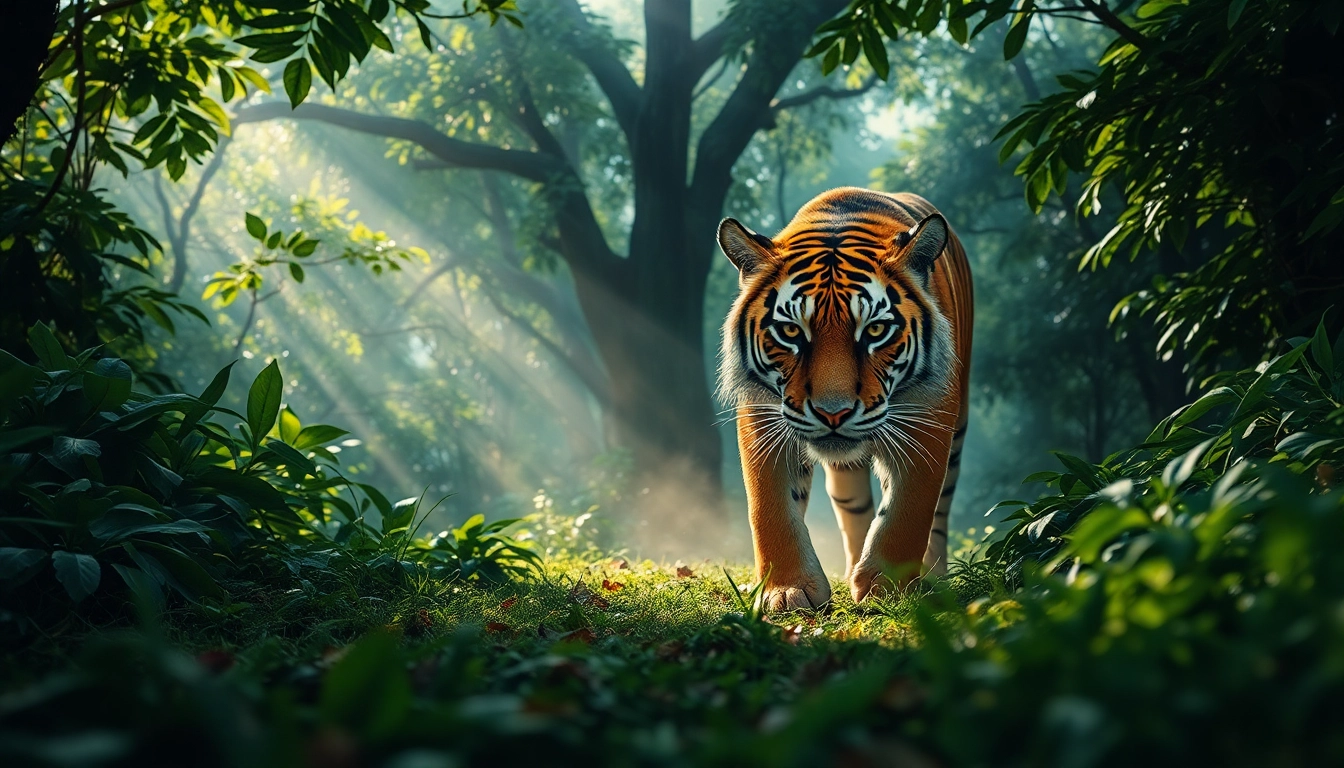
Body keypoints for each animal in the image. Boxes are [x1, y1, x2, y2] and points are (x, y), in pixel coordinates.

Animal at [717, 187, 973, 611]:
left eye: (876, 331)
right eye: (791, 330)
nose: (832, 413)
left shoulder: (928, 416)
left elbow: (908, 511)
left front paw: (887, 587)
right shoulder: (762, 414)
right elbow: (769, 507)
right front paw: (788, 591)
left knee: (941, 511)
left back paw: (932, 578)